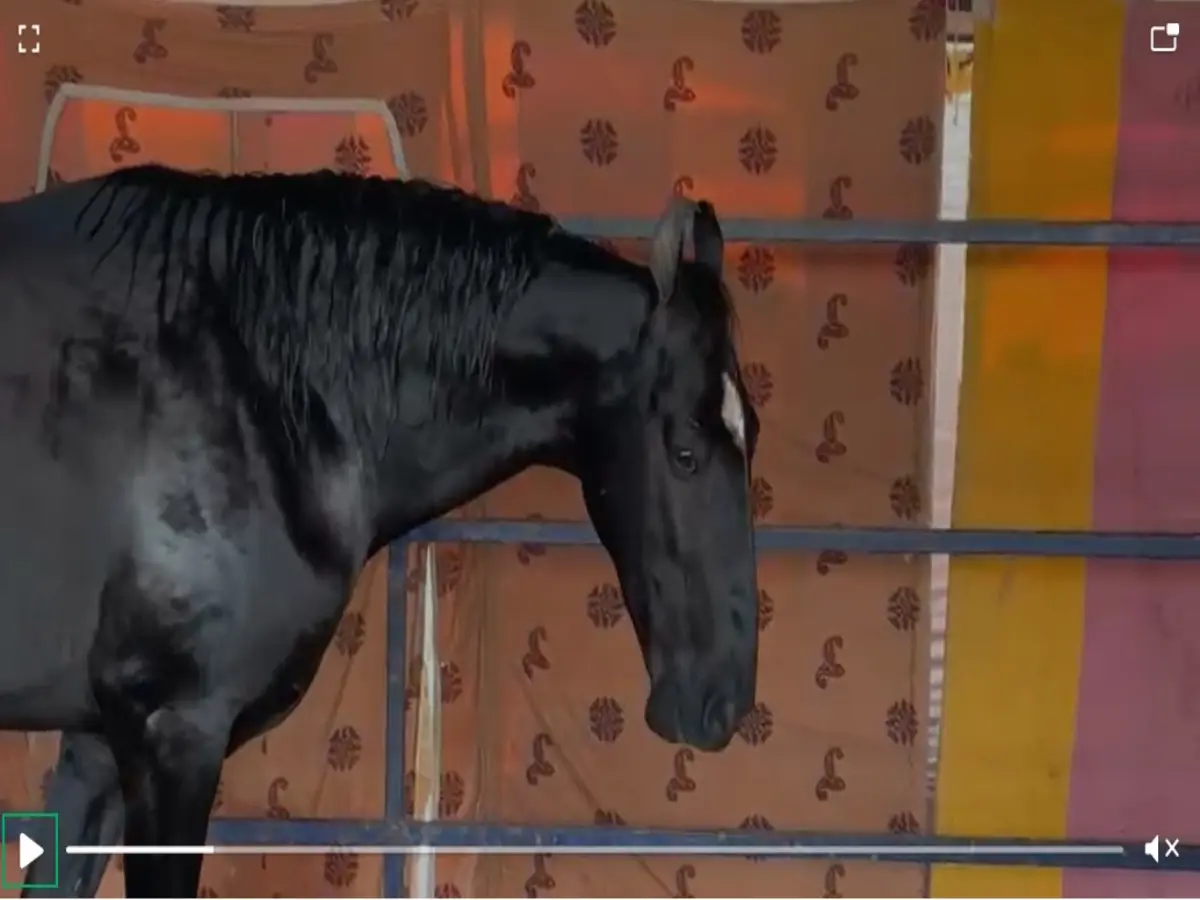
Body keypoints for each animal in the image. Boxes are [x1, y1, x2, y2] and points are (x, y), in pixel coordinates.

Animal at [0, 164, 760, 898]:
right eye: (685, 452)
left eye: (750, 431)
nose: (721, 702)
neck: (254, 386)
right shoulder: (173, 732)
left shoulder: (98, 749)